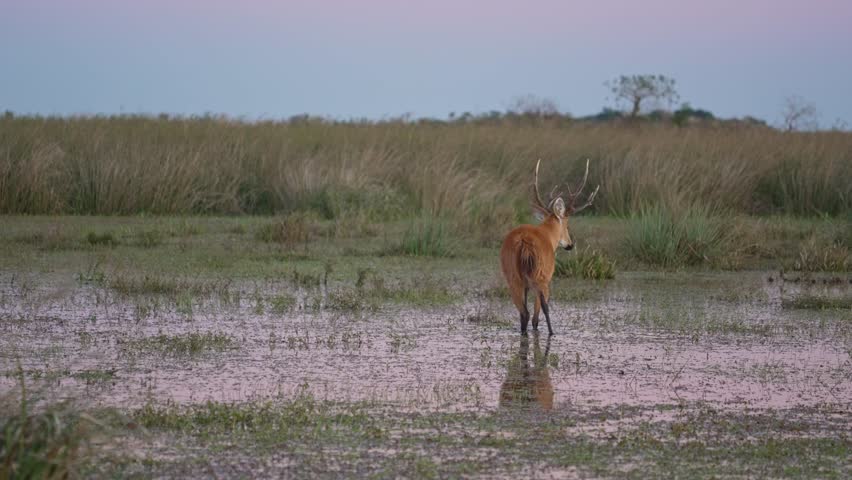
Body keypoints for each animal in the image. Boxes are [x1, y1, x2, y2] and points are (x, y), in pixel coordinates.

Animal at [500, 159, 599, 335]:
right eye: (567, 225)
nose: (570, 244)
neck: (547, 235)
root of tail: (524, 241)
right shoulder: (547, 276)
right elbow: (540, 310)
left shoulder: (525, 284)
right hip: (541, 274)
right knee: (536, 312)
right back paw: (552, 332)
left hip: (512, 275)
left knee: (523, 312)